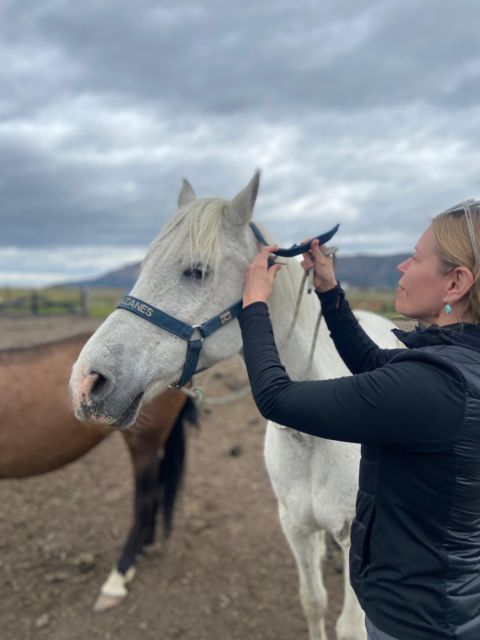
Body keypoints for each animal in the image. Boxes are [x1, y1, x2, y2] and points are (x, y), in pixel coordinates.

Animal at [70, 172, 402, 636]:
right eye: (143, 266)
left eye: (197, 271)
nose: (86, 382)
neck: (313, 436)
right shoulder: (294, 527)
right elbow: (312, 601)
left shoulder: (355, 537)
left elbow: (350, 626)